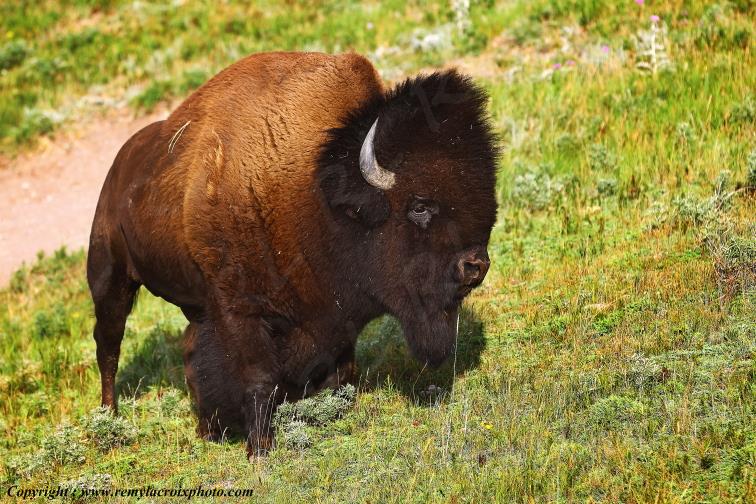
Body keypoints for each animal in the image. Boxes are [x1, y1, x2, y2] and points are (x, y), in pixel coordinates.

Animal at [87, 51, 497, 458]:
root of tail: (121, 163)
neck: (316, 195)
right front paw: (259, 450)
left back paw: (204, 429)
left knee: (186, 348)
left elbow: (339, 372)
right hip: (110, 278)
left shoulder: (333, 316)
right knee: (109, 345)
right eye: (419, 206)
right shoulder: (239, 311)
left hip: (189, 303)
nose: (475, 266)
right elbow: (258, 376)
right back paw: (110, 418)